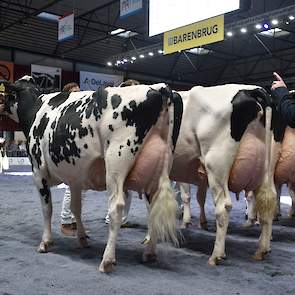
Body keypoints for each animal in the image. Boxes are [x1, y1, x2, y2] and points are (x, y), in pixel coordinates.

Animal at [0, 75, 184, 272]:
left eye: (7, 94)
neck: (35, 108)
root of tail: (160, 87)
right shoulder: (74, 178)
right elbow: (75, 207)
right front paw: (82, 238)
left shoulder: (38, 171)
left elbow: (47, 208)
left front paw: (45, 242)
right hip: (160, 167)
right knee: (154, 208)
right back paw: (149, 252)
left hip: (116, 162)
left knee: (116, 207)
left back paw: (107, 260)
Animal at [169, 84, 278, 266]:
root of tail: (252, 90)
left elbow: (184, 196)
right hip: (266, 168)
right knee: (268, 200)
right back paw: (262, 250)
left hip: (216, 164)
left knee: (223, 206)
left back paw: (216, 255)